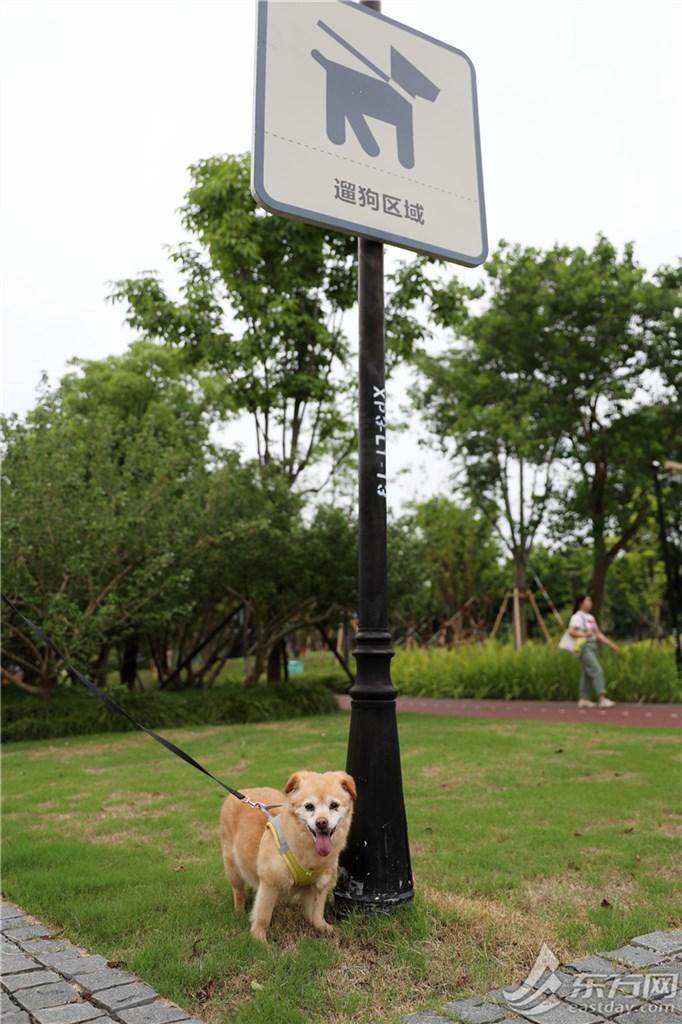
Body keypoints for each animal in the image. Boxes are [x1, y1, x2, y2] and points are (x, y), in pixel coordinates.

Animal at [219, 770, 356, 942]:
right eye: (309, 806)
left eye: (334, 805)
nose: (321, 822)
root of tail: (243, 792)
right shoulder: (269, 884)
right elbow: (263, 916)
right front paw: (259, 939)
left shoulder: (320, 886)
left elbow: (316, 914)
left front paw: (324, 928)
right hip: (232, 869)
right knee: (239, 893)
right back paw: (239, 912)